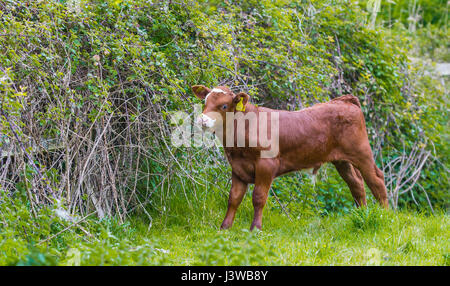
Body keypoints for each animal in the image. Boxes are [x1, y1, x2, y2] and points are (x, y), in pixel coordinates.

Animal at [192, 84, 388, 230]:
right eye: (205, 101)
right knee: (356, 184)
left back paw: (386, 216)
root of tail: (344, 101)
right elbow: (233, 198)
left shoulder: (266, 165)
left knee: (376, 180)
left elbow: (259, 197)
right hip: (342, 161)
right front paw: (224, 227)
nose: (202, 120)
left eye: (224, 106)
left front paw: (255, 228)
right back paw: (362, 214)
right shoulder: (238, 168)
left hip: (362, 152)